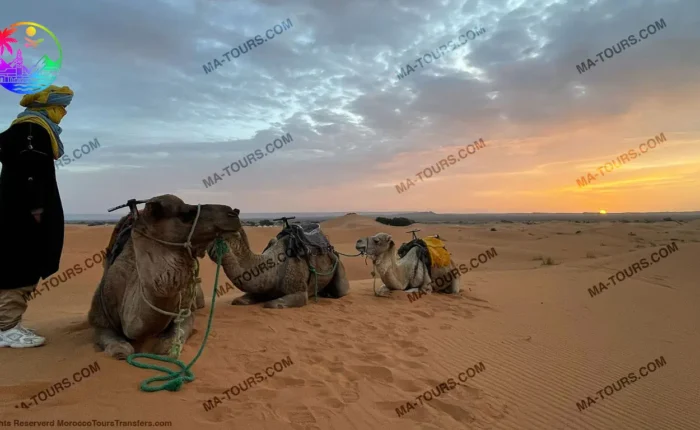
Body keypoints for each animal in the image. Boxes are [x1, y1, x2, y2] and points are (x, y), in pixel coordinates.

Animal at [87, 195, 242, 360]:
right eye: (186, 214)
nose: (233, 213)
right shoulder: (99, 318)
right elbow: (121, 349)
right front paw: (120, 349)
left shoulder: (185, 311)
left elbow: (168, 345)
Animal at [206, 223, 350, 308]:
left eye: (220, 236)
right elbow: (239, 300)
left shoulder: (299, 291)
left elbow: (271, 304)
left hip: (338, 264)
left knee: (341, 289)